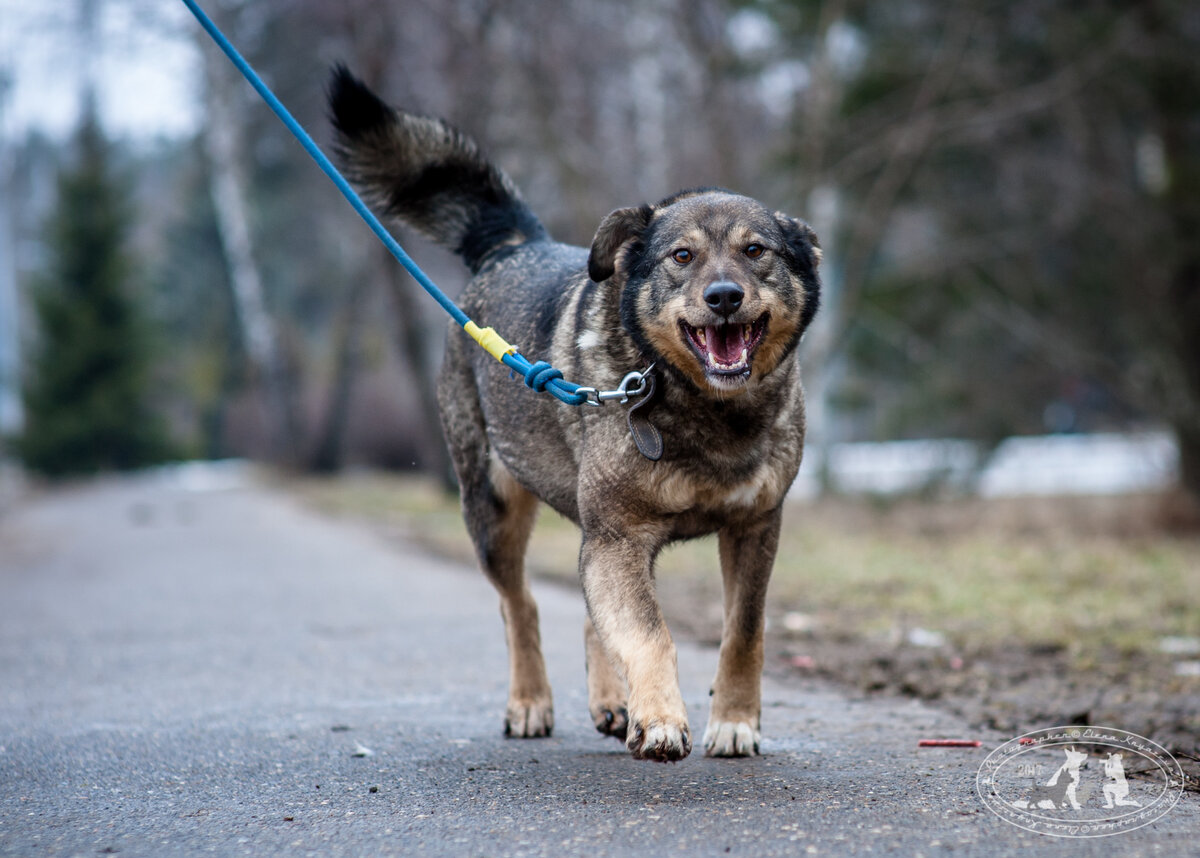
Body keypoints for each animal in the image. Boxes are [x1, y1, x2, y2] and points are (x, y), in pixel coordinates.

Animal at [326, 68, 816, 763]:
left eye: (756, 251)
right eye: (682, 257)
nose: (724, 297)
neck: (699, 404)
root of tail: (514, 246)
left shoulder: (753, 528)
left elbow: (742, 630)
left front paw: (734, 722)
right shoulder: (617, 537)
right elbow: (648, 634)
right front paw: (661, 719)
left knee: (588, 617)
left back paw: (613, 703)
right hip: (494, 511)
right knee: (520, 606)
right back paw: (531, 702)